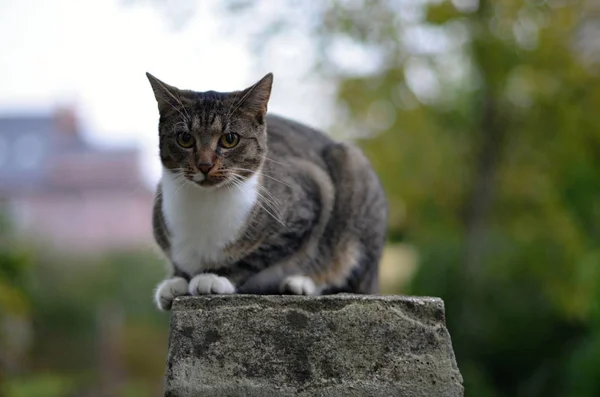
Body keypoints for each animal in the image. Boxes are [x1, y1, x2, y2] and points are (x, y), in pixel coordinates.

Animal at [148, 71, 386, 310]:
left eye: (230, 139)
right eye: (185, 139)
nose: (204, 165)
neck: (205, 204)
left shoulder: (308, 201)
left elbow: (257, 256)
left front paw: (215, 277)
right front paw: (177, 281)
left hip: (352, 167)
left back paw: (301, 282)